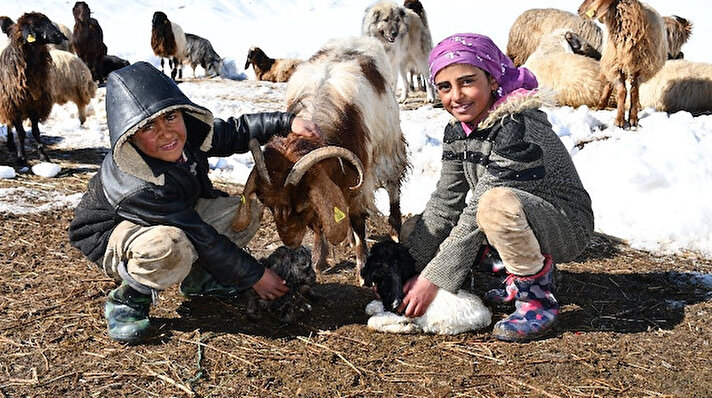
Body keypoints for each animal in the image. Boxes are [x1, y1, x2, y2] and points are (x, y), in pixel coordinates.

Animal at [0, 12, 68, 163]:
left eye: (48, 21)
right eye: (34, 25)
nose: (58, 35)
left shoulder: (36, 104)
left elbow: (36, 132)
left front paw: (44, 156)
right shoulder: (16, 105)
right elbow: (20, 132)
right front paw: (21, 157)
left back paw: (11, 144)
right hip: (7, 102)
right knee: (10, 123)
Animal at [234, 35, 408, 282]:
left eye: (300, 205)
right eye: (267, 205)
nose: (290, 242)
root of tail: (357, 38)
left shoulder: (359, 184)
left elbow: (357, 220)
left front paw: (362, 270)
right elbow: (320, 223)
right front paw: (319, 259)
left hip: (389, 144)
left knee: (393, 187)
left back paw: (394, 231)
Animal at [358, 241, 492, 334]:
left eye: (375, 261)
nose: (362, 272)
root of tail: (486, 313)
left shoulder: (403, 312)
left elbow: (372, 321)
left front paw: (408, 327)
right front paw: (374, 305)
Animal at [580, 0, 668, 128]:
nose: (579, 10)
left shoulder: (639, 67)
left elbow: (634, 91)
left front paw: (633, 118)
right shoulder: (616, 66)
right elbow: (622, 91)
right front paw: (619, 119)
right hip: (610, 61)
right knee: (609, 83)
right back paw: (601, 105)